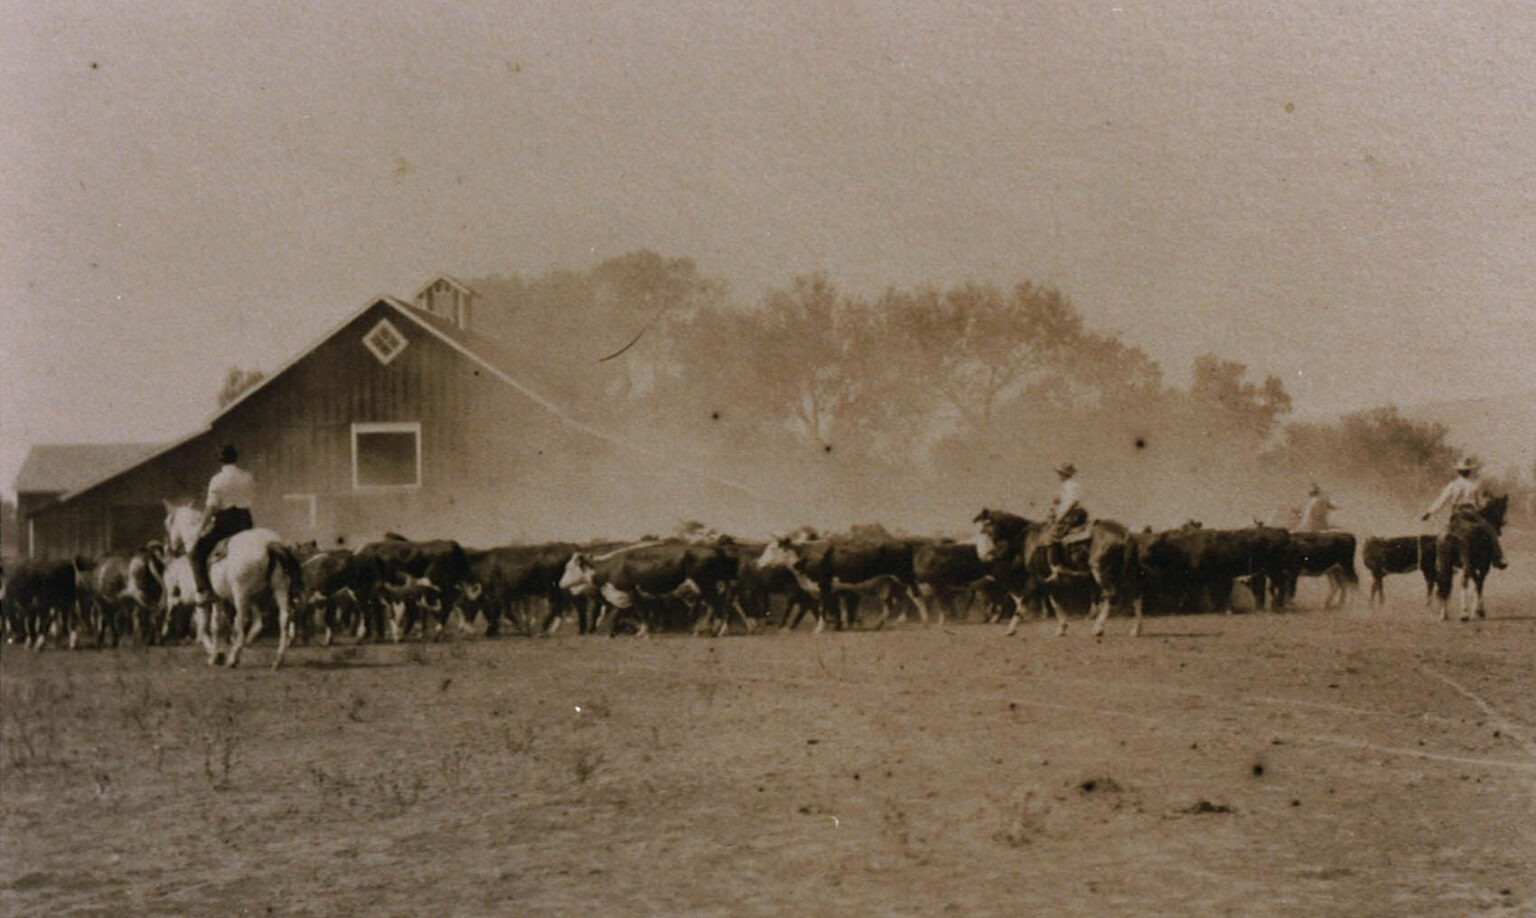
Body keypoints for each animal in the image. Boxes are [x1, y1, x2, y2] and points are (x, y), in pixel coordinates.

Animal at [165, 503, 302, 669]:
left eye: (168, 523)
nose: (169, 548)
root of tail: (268, 543)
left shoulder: (203, 597)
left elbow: (206, 627)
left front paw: (214, 655)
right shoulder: (219, 599)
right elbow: (218, 625)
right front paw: (217, 653)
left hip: (241, 592)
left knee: (242, 620)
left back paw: (234, 658)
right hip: (280, 586)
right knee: (283, 617)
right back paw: (277, 659)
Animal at [1431, 497, 1505, 626]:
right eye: (1500, 511)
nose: (1499, 530)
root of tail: (1453, 530)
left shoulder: (1473, 567)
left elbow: (1476, 583)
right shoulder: (1483, 567)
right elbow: (1479, 584)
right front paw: (1479, 611)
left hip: (1445, 564)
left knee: (1443, 584)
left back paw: (1444, 615)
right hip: (1467, 564)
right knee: (1464, 582)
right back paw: (1464, 614)